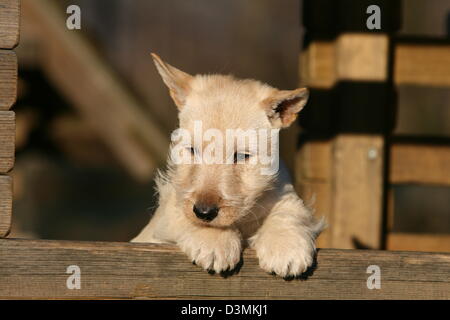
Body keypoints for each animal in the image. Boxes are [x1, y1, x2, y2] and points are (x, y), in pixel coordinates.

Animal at [132, 53, 326, 278]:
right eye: (192, 150)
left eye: (241, 156)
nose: (204, 212)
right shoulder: (167, 213)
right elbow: (179, 215)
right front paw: (213, 241)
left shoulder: (282, 190)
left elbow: (288, 209)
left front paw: (285, 244)